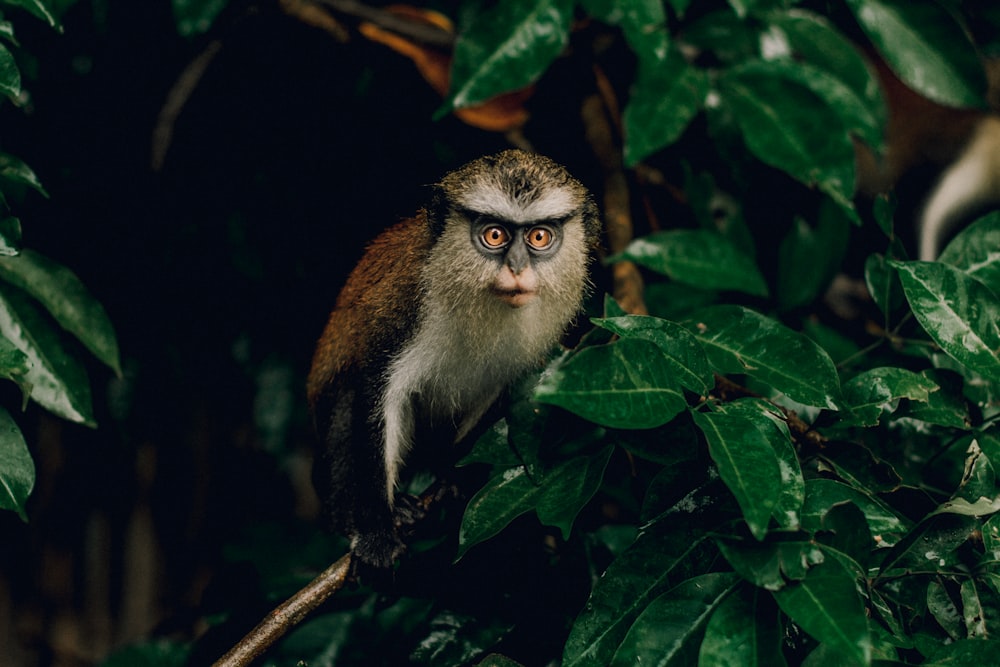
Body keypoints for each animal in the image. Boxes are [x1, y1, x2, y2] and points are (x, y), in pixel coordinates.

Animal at [308, 151, 596, 568]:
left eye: (539, 236)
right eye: (495, 235)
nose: (517, 267)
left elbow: (492, 390)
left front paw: (450, 471)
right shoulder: (404, 305)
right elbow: (376, 391)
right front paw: (377, 530)